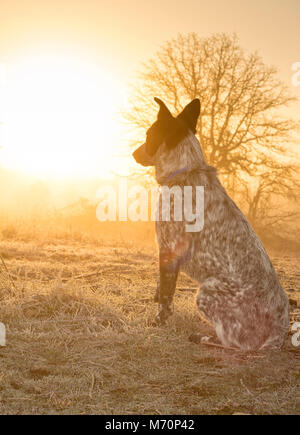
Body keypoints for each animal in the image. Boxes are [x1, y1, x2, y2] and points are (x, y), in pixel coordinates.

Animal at [132, 98, 290, 350]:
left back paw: (203, 338)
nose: (133, 153)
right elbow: (161, 286)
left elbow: (166, 295)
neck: (185, 171)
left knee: (235, 344)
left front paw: (158, 322)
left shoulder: (168, 248)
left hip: (206, 291)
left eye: (149, 134)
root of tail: (280, 331)